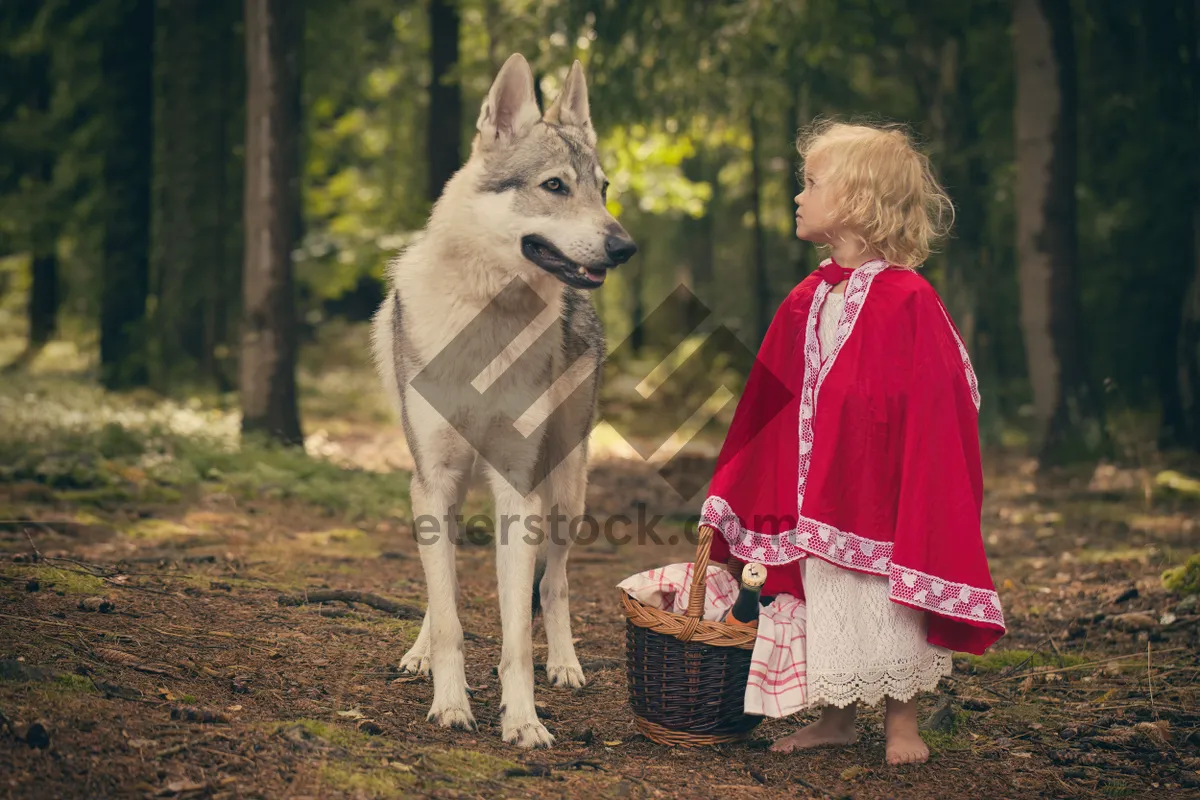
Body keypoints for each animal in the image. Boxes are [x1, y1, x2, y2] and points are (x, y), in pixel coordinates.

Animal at [369, 53, 638, 748]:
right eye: (554, 186)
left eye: (602, 188)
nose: (624, 247)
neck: (489, 320)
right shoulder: (435, 479)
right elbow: (449, 615)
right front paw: (450, 703)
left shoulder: (517, 490)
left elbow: (517, 629)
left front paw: (522, 721)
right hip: (448, 491)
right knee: (442, 592)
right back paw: (417, 653)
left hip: (564, 492)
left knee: (558, 583)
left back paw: (565, 665)